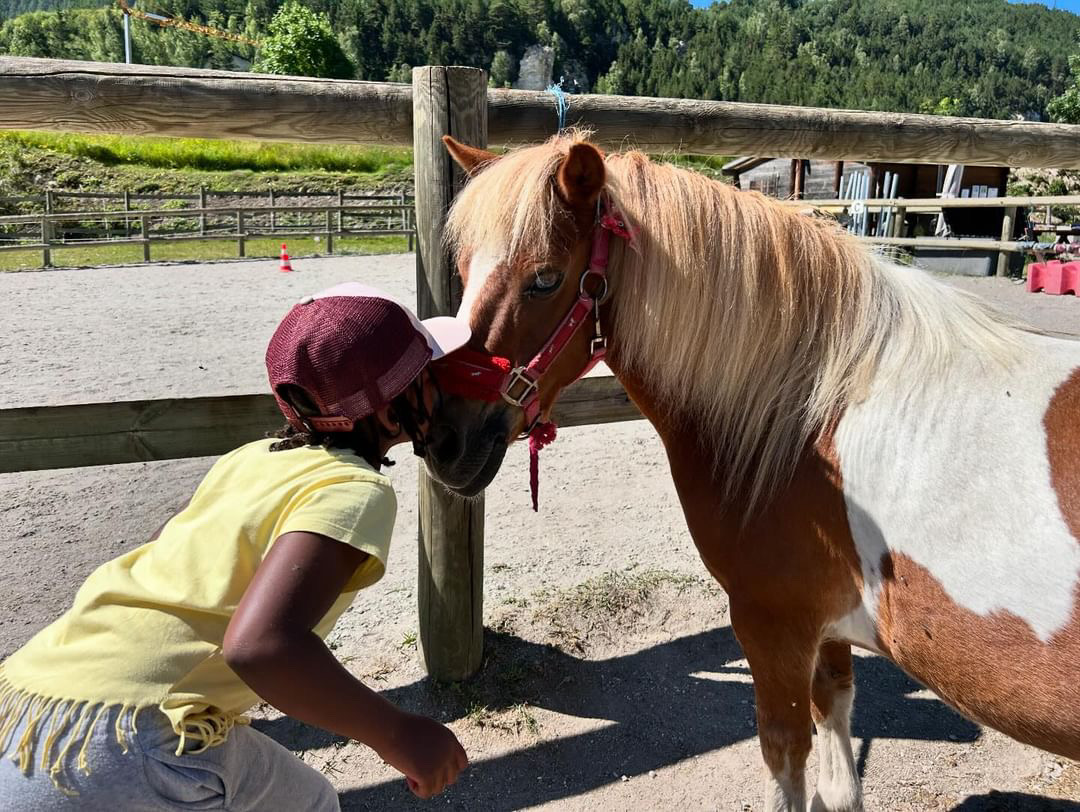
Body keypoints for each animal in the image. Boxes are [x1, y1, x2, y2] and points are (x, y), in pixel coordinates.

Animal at [427, 130, 1080, 807]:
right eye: (465, 270)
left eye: (545, 279)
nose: (442, 437)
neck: (813, 413)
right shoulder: (828, 630)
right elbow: (838, 756)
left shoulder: (773, 628)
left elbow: (787, 756)